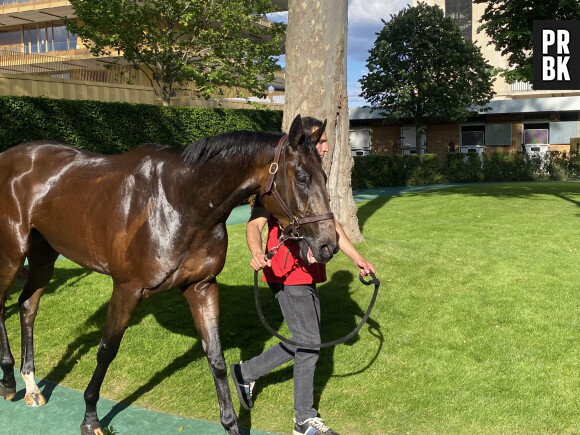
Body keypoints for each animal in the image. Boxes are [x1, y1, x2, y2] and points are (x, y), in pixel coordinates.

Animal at [0, 114, 338, 434]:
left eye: (324, 177)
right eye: (302, 178)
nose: (328, 245)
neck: (179, 203)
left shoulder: (201, 287)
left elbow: (216, 357)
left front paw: (230, 423)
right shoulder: (126, 289)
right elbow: (107, 351)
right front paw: (90, 418)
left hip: (44, 254)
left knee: (27, 306)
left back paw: (30, 385)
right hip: (12, 255)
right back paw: (8, 380)